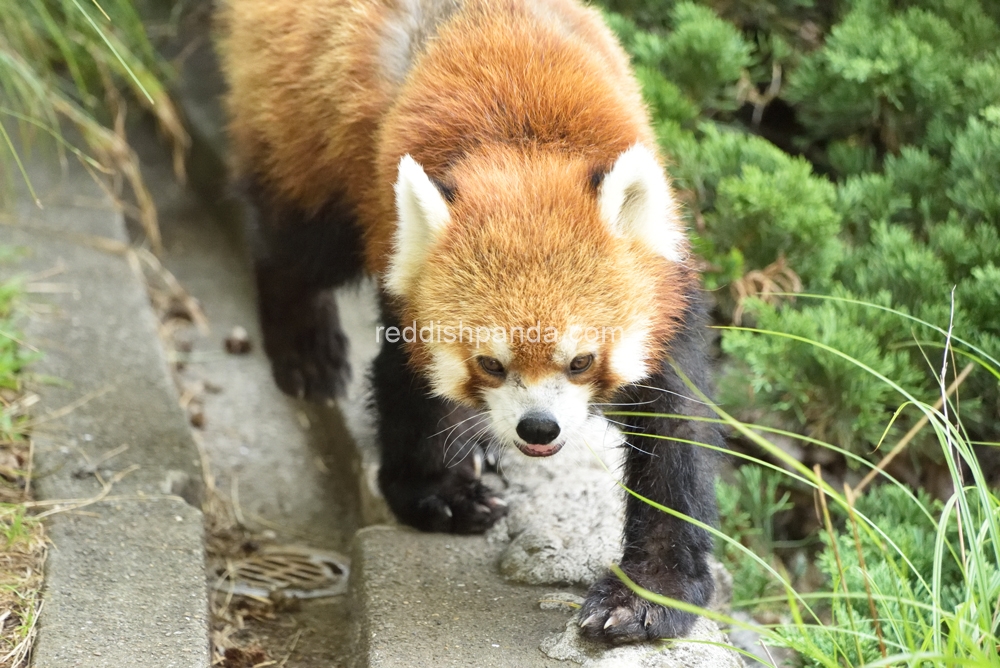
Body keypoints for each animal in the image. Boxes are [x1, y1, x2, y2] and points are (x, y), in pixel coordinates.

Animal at [219, 0, 720, 640]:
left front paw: (649, 594)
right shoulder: (398, 260)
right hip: (312, 132)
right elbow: (406, 383)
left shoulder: (666, 298)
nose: (538, 428)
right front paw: (438, 494)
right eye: (490, 364)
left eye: (581, 361)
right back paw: (305, 346)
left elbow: (677, 439)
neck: (524, 146)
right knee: (297, 245)